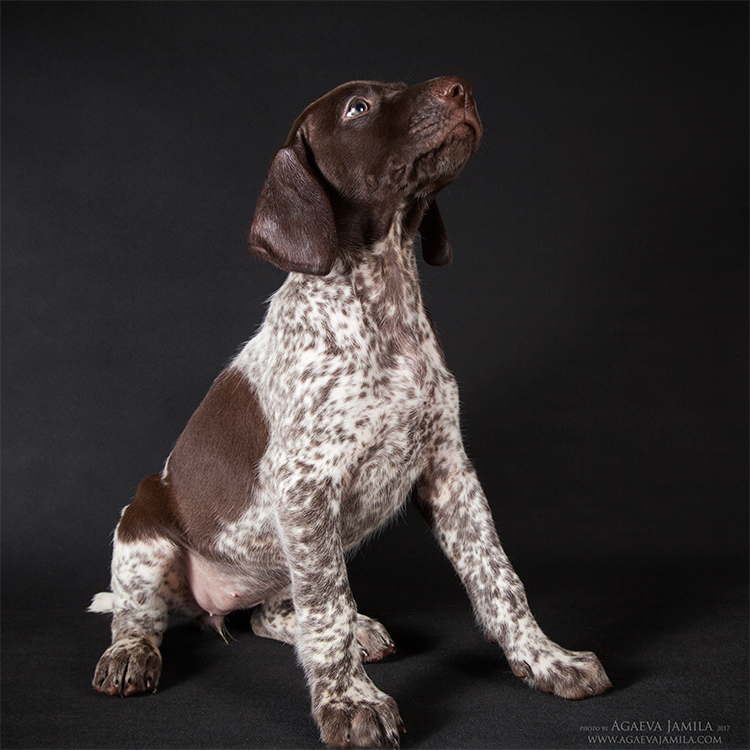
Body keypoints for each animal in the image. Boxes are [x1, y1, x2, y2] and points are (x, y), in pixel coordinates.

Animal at [90, 77, 611, 748]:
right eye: (357, 108)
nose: (461, 88)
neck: (384, 300)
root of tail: (212, 604)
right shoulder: (305, 487)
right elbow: (328, 608)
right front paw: (348, 702)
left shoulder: (449, 472)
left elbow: (498, 579)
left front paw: (547, 660)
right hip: (144, 529)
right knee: (141, 613)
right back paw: (130, 653)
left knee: (270, 615)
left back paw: (350, 629)